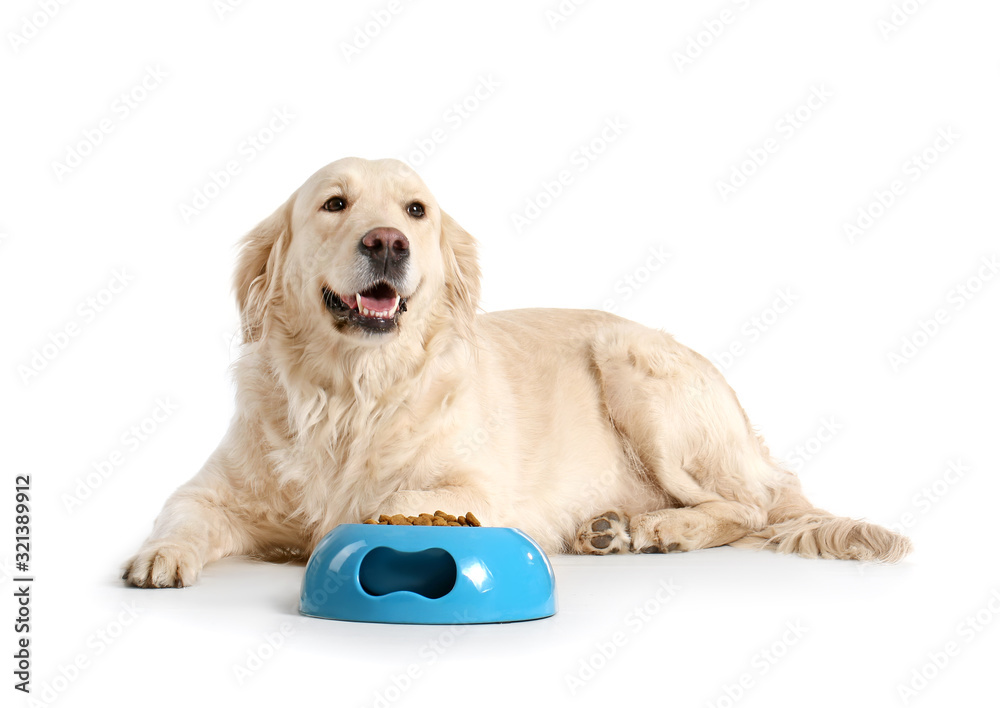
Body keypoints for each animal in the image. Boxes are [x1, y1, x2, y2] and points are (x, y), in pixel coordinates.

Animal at [121, 158, 912, 588]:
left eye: (417, 210)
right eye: (334, 204)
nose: (388, 243)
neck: (352, 390)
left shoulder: (482, 488)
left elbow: (396, 496)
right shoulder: (210, 491)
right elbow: (182, 515)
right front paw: (158, 557)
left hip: (633, 369)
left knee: (748, 507)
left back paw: (663, 528)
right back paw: (615, 526)